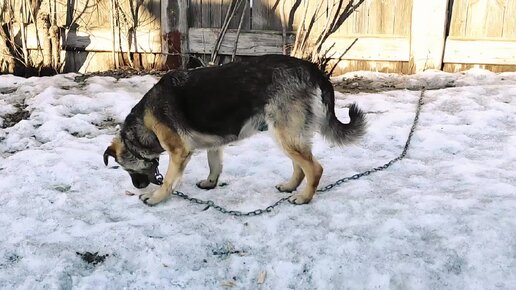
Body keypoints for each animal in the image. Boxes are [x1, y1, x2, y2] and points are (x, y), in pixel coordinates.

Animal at [103, 53, 364, 204]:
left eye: (125, 169)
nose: (138, 186)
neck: (144, 123)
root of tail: (312, 69)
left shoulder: (179, 152)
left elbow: (169, 181)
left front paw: (156, 197)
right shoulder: (214, 144)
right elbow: (214, 164)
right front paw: (210, 183)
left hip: (284, 134)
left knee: (315, 168)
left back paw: (304, 197)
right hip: (289, 135)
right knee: (301, 166)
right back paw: (290, 186)